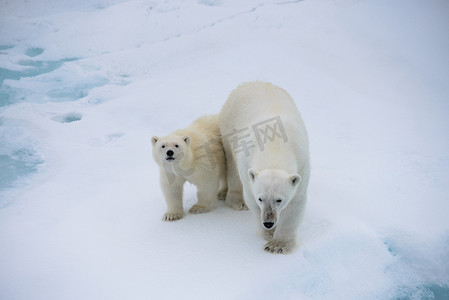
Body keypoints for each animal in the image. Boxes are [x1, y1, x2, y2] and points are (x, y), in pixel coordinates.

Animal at [219, 81, 310, 253]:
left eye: (279, 199)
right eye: (260, 198)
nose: (268, 222)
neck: (275, 147)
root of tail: (253, 83)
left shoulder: (302, 164)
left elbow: (295, 204)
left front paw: (278, 245)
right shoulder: (247, 165)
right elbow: (250, 197)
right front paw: (269, 234)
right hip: (229, 127)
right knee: (232, 166)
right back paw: (236, 201)